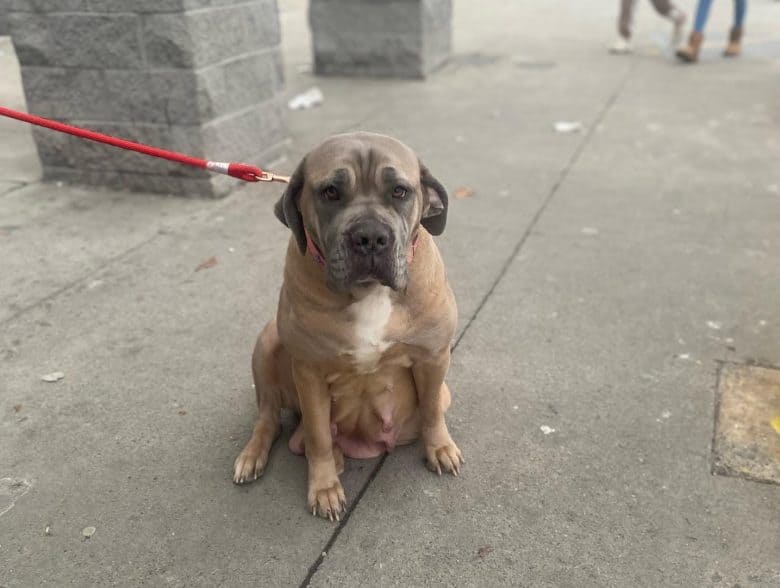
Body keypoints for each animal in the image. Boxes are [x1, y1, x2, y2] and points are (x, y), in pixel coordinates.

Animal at [232, 132, 464, 520]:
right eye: (330, 192)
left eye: (400, 191)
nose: (370, 236)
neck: (369, 292)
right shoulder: (308, 372)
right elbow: (318, 435)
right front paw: (324, 487)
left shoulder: (434, 357)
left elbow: (432, 409)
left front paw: (440, 448)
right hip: (266, 341)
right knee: (270, 418)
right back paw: (254, 455)